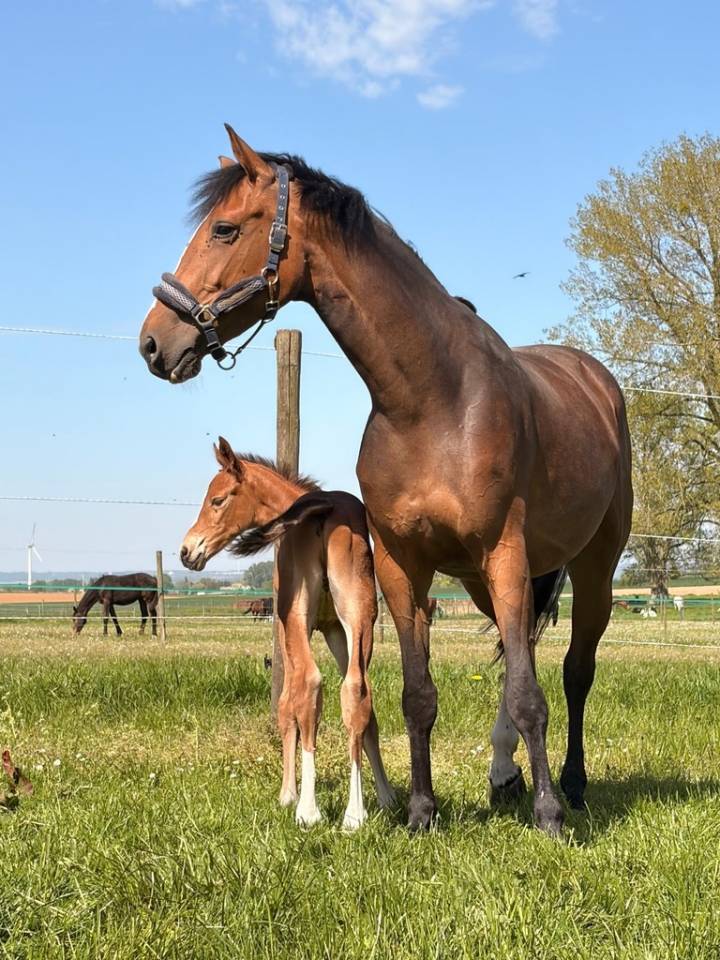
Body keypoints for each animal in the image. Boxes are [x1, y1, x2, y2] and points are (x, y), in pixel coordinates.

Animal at [180, 438, 395, 829]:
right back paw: (355, 814)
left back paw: (308, 811)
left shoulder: (287, 627)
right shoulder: (335, 630)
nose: (187, 551)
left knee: (310, 683)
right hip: (360, 615)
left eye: (217, 500)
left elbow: (287, 703)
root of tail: (326, 508)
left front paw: (288, 794)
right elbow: (362, 710)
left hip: (295, 616)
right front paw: (386, 796)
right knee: (357, 689)